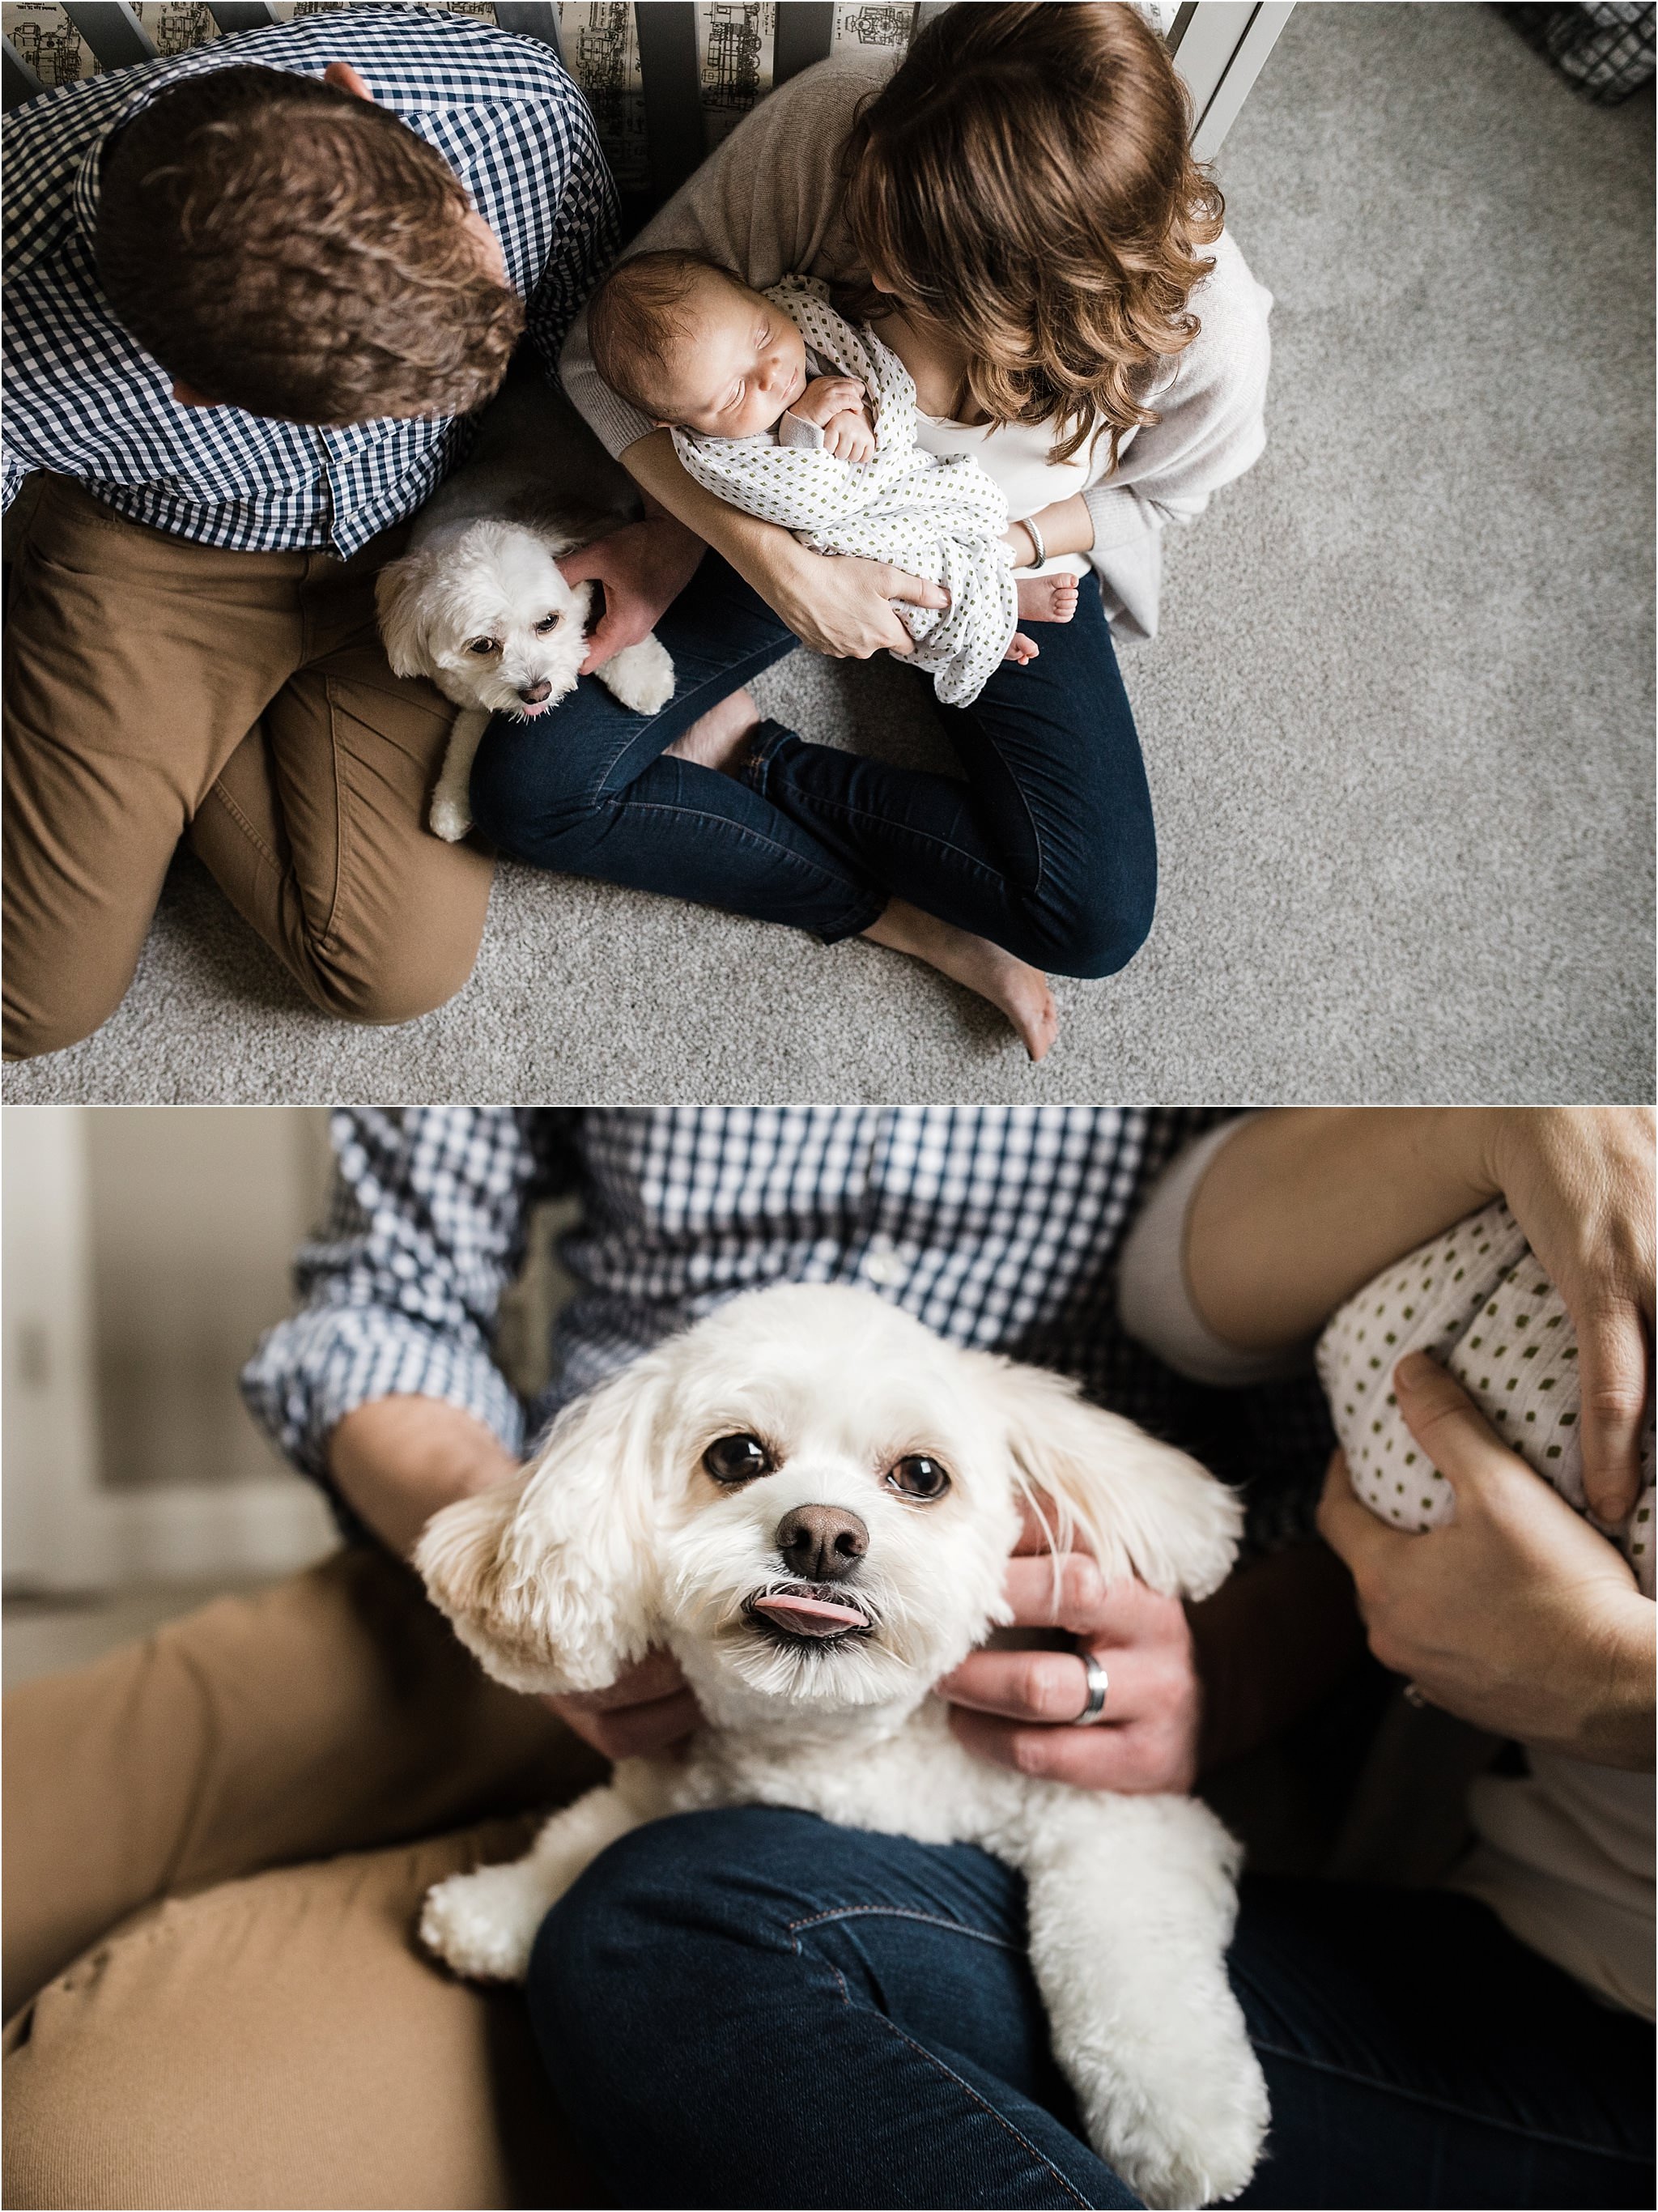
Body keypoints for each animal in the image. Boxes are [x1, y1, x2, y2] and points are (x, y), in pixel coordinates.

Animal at [380, 376, 676, 840]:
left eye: (548, 622)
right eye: (482, 645)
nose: (538, 690)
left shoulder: (602, 543)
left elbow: (607, 617)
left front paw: (640, 673)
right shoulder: (477, 693)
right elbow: (471, 726)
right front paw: (451, 797)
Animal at [418, 1283, 1273, 2212]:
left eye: (921, 1475)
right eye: (736, 1455)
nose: (822, 1534)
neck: (835, 1746)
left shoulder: (1116, 1807)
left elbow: (1129, 1948)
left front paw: (1182, 2117)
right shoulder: (688, 1777)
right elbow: (587, 1830)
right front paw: (505, 1900)